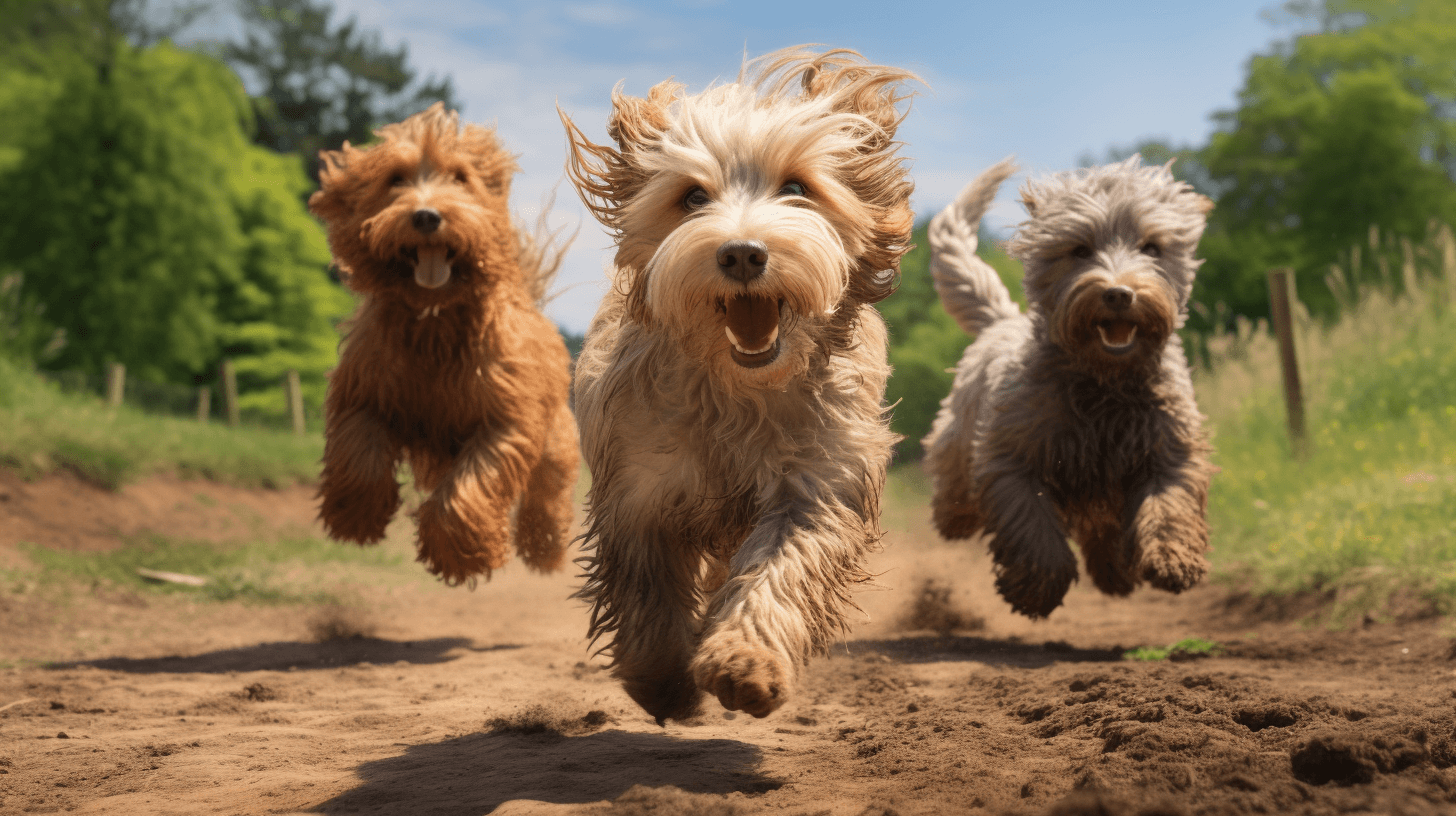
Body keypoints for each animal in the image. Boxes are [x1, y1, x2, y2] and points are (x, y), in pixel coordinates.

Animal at [310, 103, 576, 585]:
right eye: (395, 178)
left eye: (460, 177)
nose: (426, 217)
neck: (435, 319)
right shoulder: (365, 390)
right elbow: (359, 456)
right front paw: (355, 517)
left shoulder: (505, 418)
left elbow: (471, 486)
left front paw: (460, 555)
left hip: (556, 438)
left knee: (549, 491)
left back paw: (543, 546)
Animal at [559, 46, 914, 719]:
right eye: (693, 196)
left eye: (797, 188)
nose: (743, 253)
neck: (740, 393)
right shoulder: (640, 487)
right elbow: (647, 592)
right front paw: (664, 682)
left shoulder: (816, 481)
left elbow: (784, 569)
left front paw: (745, 661)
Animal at [920, 155, 1217, 617]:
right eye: (1079, 250)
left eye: (1152, 247)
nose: (1119, 294)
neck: (1104, 385)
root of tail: (1002, 320)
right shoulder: (1012, 459)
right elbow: (1032, 527)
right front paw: (1037, 588)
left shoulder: (1168, 451)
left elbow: (1168, 506)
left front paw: (1172, 560)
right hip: (957, 436)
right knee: (952, 479)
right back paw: (954, 517)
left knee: (1104, 532)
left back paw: (1115, 572)